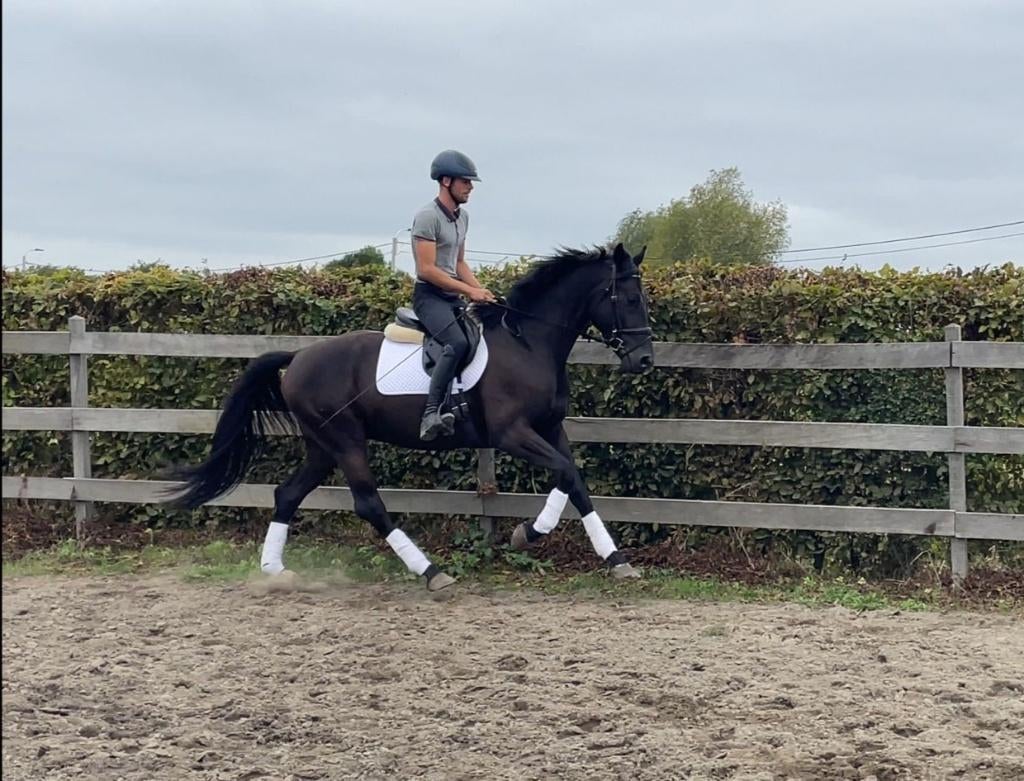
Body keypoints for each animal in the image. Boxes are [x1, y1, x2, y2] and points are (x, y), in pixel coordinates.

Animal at [167, 243, 654, 591]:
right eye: (629, 298)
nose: (645, 360)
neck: (528, 341)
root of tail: (300, 356)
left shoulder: (550, 428)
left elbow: (575, 480)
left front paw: (617, 561)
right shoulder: (511, 433)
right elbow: (565, 473)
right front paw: (526, 533)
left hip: (322, 446)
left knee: (287, 494)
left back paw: (273, 569)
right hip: (345, 440)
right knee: (368, 503)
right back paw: (432, 572)